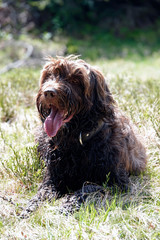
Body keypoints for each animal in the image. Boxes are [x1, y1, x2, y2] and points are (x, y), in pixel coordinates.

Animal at [21, 55, 147, 216]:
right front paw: (32, 206)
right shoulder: (52, 178)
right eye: (49, 76)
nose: (49, 92)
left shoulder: (116, 183)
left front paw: (68, 204)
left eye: (76, 80)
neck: (75, 141)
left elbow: (87, 188)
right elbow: (44, 191)